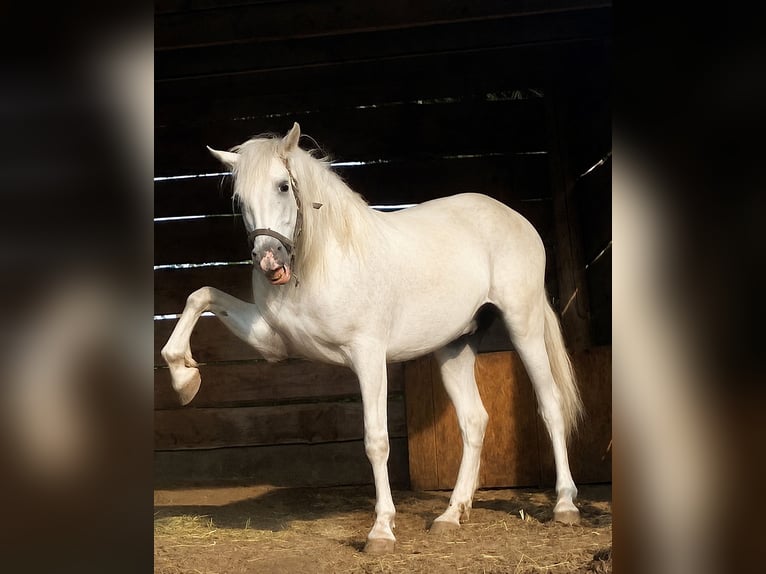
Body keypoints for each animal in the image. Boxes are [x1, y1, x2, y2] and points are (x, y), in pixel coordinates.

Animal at [161, 123, 584, 554]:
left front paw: (381, 531)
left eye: (282, 185)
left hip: (523, 325)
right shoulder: (271, 342)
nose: (269, 262)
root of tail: (514, 218)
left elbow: (376, 440)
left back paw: (565, 506)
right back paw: (451, 514)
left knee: (550, 405)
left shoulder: (367, 356)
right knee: (474, 421)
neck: (322, 262)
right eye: (239, 199)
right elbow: (200, 296)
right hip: (455, 347)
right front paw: (184, 379)